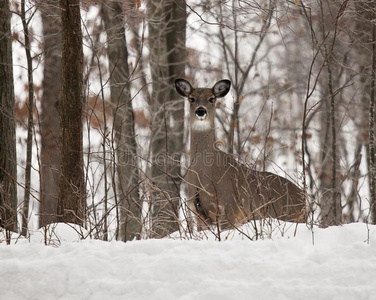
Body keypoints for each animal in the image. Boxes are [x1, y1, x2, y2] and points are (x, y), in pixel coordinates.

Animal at [176, 78, 306, 230]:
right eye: (191, 98)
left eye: (211, 98)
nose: (201, 111)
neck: (205, 173)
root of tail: (306, 202)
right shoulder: (197, 214)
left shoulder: (230, 208)